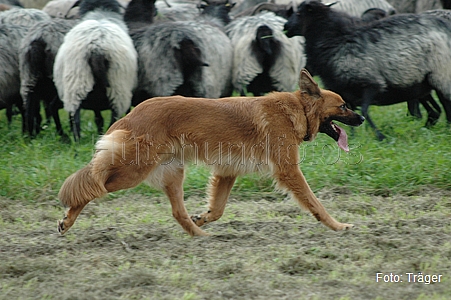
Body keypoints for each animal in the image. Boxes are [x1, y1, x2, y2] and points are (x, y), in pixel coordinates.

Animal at [53, 0, 138, 141]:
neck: (101, 14)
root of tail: (98, 46)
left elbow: (98, 118)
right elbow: (99, 118)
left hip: (78, 82)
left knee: (76, 116)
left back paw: (77, 140)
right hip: (115, 85)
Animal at [57, 69, 368, 236]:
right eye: (343, 106)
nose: (363, 118)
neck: (296, 110)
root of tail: (133, 113)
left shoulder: (227, 171)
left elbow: (217, 209)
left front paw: (203, 217)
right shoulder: (289, 170)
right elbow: (315, 203)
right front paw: (338, 226)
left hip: (172, 173)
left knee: (178, 213)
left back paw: (200, 235)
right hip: (133, 172)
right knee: (92, 184)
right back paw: (67, 220)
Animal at [284, 0, 451, 141]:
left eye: (299, 13)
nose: (285, 27)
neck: (336, 40)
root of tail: (442, 25)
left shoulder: (371, 84)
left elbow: (364, 110)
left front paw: (380, 136)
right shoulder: (346, 92)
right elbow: (351, 111)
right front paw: (353, 137)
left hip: (440, 74)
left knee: (445, 102)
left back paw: (445, 128)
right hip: (427, 81)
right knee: (437, 108)